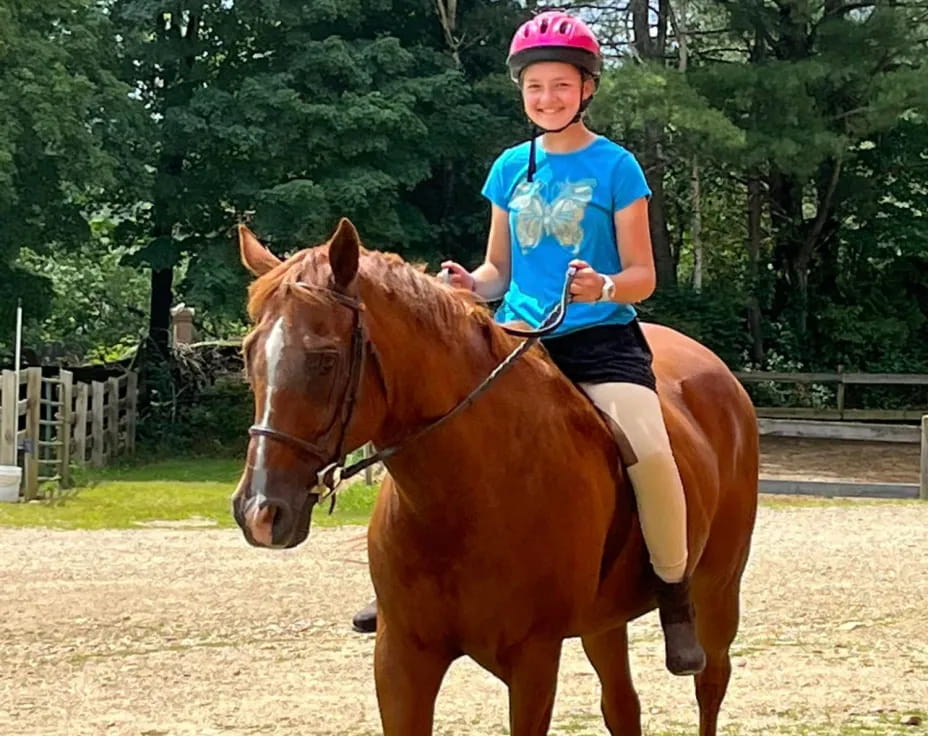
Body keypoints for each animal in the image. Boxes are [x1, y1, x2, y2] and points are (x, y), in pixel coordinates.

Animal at [232, 217, 758, 736]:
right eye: (248, 353)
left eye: (324, 359)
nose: (259, 511)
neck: (462, 500)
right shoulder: (402, 659)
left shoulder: (533, 661)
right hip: (603, 622)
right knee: (622, 706)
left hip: (718, 591)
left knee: (711, 684)